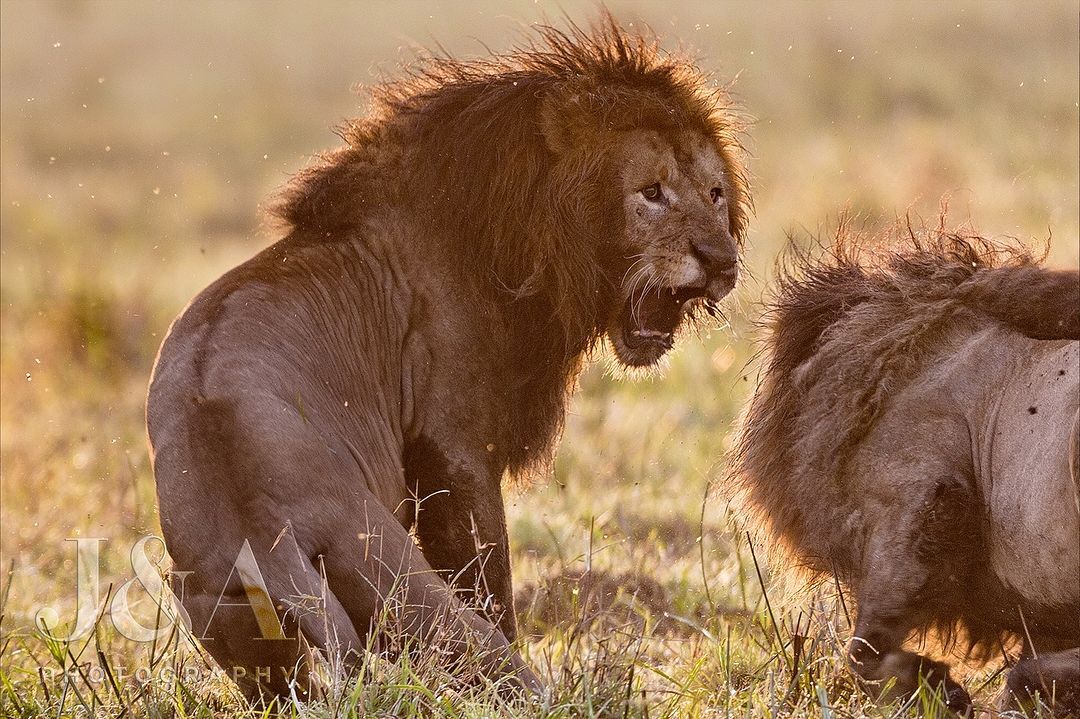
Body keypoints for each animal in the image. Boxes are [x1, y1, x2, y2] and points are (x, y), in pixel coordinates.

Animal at [145, 18, 751, 699]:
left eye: (715, 193)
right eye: (651, 192)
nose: (721, 260)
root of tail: (260, 523)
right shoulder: (454, 447)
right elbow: (489, 577)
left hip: (217, 608)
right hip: (391, 571)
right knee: (489, 653)